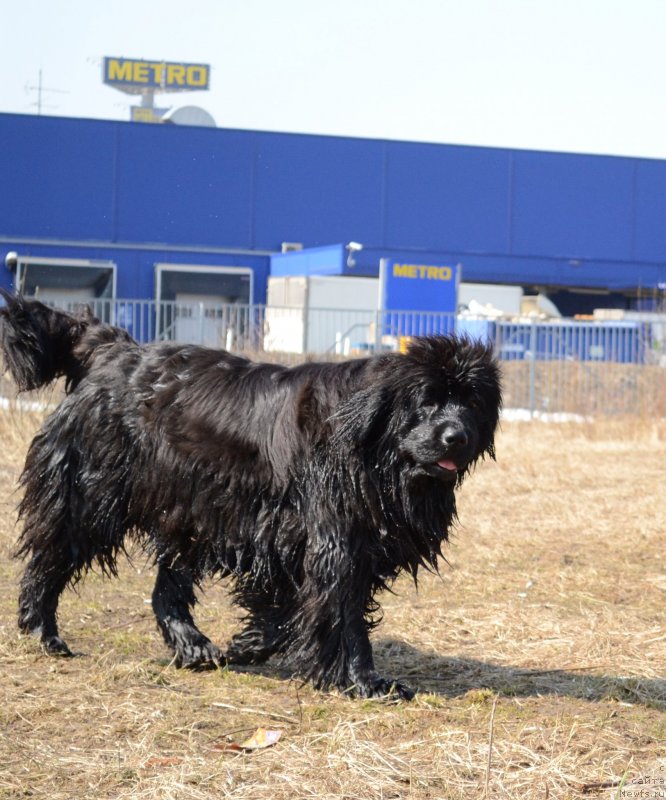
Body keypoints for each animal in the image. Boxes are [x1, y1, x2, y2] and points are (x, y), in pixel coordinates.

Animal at [0, 294, 498, 700]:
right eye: (427, 401)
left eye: (473, 402)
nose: (457, 437)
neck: (368, 446)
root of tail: (115, 347)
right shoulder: (333, 541)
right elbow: (343, 614)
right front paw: (364, 682)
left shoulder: (284, 535)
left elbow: (287, 610)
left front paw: (248, 645)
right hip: (92, 491)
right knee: (51, 555)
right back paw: (42, 629)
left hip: (189, 509)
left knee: (168, 585)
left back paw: (191, 644)